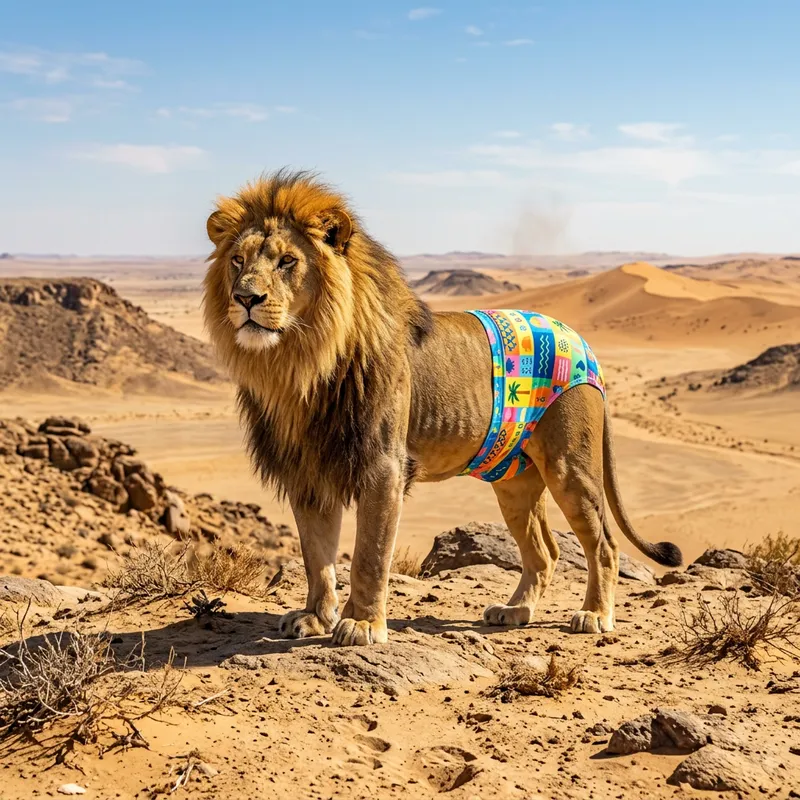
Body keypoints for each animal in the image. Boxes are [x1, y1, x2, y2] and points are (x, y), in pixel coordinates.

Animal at [202, 169, 682, 646]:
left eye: (287, 261)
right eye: (237, 261)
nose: (246, 298)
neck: (299, 365)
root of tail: (584, 344)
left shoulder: (383, 466)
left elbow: (369, 556)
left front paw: (362, 624)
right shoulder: (308, 473)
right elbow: (317, 558)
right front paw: (315, 617)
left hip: (570, 467)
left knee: (603, 543)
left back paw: (594, 615)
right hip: (515, 482)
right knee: (545, 552)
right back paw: (515, 611)